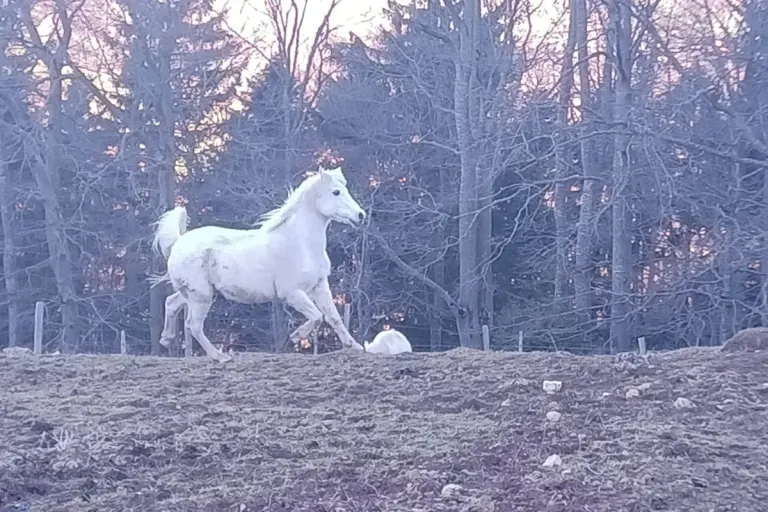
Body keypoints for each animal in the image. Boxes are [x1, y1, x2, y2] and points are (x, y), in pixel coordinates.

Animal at [149, 165, 367, 362]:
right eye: (336, 192)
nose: (360, 215)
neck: (301, 244)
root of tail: (178, 242)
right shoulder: (292, 293)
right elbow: (317, 316)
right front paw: (296, 336)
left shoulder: (320, 286)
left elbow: (333, 317)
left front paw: (355, 347)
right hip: (201, 296)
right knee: (193, 325)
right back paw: (220, 357)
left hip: (194, 293)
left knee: (171, 303)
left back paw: (166, 338)